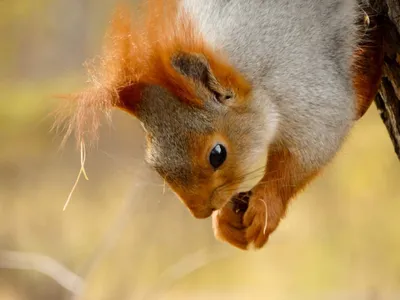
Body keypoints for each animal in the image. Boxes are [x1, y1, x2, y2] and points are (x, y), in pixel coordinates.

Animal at [56, 0, 384, 251]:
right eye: (154, 164)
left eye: (217, 155)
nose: (200, 213)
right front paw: (225, 221)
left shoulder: (308, 89)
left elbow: (309, 152)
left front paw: (266, 206)